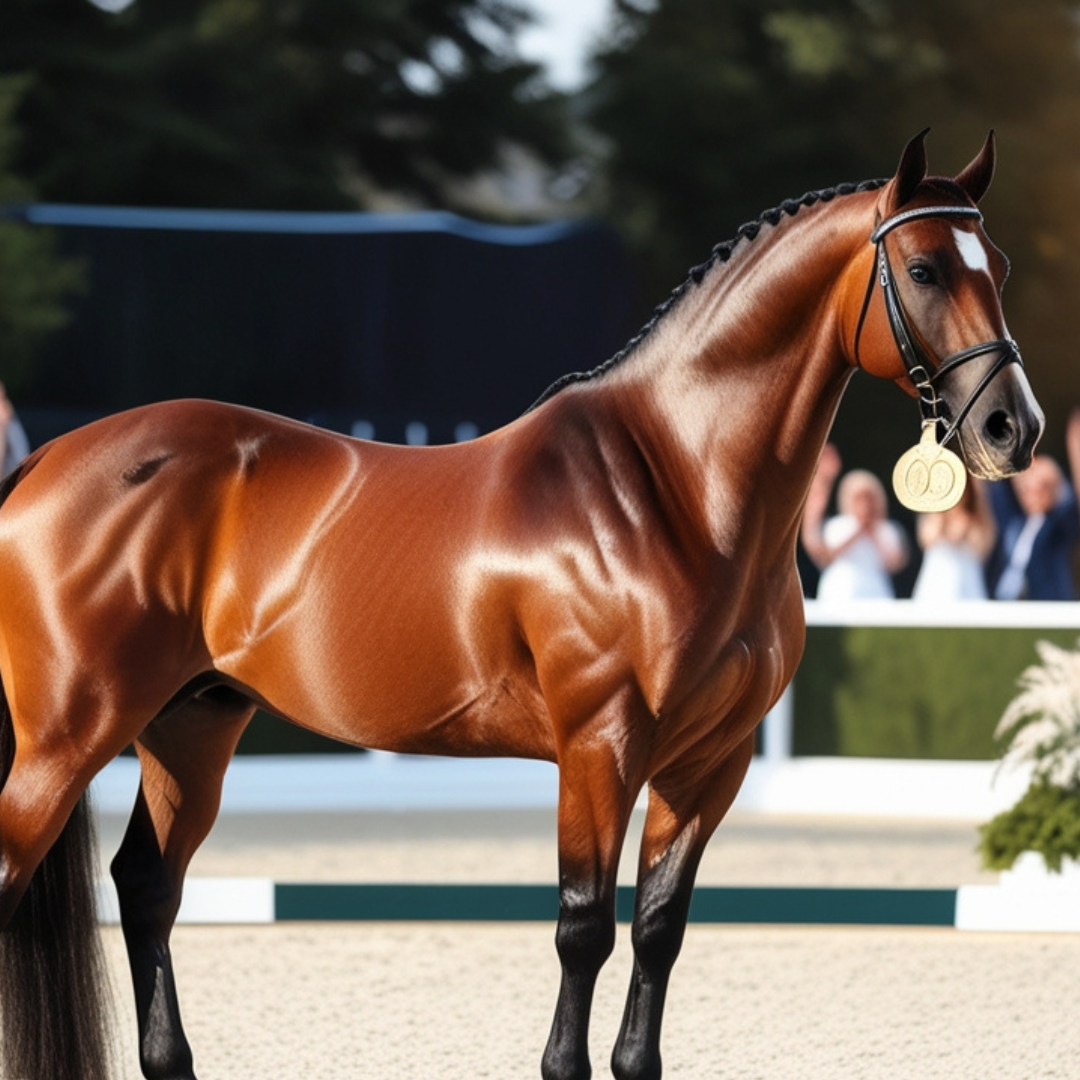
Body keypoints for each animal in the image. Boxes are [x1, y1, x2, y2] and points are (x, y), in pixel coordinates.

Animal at [0, 130, 1043, 1080]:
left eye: (998, 268)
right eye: (922, 267)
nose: (1013, 428)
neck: (675, 488)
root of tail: (45, 458)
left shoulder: (711, 763)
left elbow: (659, 930)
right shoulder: (599, 746)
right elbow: (584, 930)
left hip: (191, 722)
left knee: (145, 887)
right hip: (68, 735)